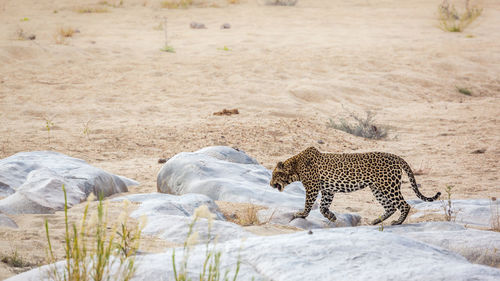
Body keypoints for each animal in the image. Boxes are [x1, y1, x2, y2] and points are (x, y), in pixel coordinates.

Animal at [270, 145, 442, 224]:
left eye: (274, 175)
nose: (270, 184)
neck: (295, 167)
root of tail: (396, 157)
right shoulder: (327, 190)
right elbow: (323, 206)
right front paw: (331, 217)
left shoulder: (312, 188)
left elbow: (308, 204)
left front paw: (301, 214)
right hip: (377, 188)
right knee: (391, 207)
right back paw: (376, 221)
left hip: (388, 186)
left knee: (404, 205)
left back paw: (397, 222)